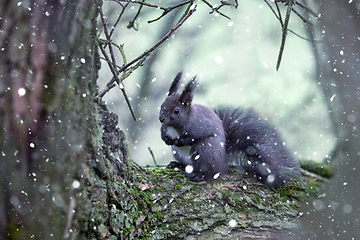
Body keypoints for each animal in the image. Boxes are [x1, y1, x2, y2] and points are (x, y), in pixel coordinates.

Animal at [159, 71, 302, 186]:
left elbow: (192, 137)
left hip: (205, 150)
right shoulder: (165, 127)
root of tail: (222, 162)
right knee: (187, 165)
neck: (174, 126)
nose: (161, 119)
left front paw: (178, 141)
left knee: (211, 172)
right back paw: (177, 165)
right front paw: (165, 138)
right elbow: (163, 132)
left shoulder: (199, 127)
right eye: (162, 105)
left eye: (176, 111)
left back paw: (199, 175)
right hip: (179, 153)